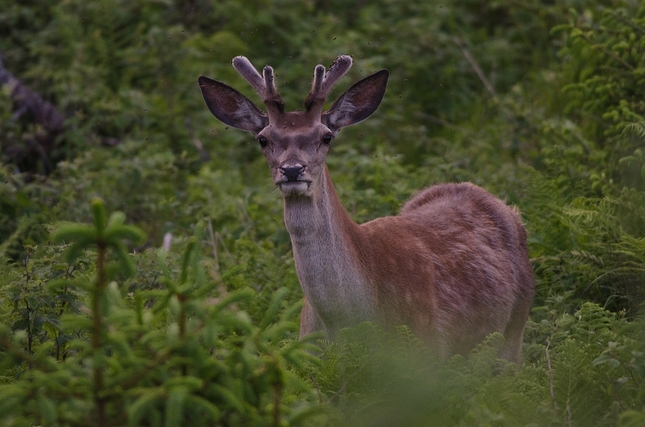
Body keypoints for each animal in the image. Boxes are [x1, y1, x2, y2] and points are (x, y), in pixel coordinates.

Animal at [196, 55, 532, 366]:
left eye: (326, 136)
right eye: (263, 139)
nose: (292, 170)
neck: (346, 322)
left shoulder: (426, 356)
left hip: (514, 333)